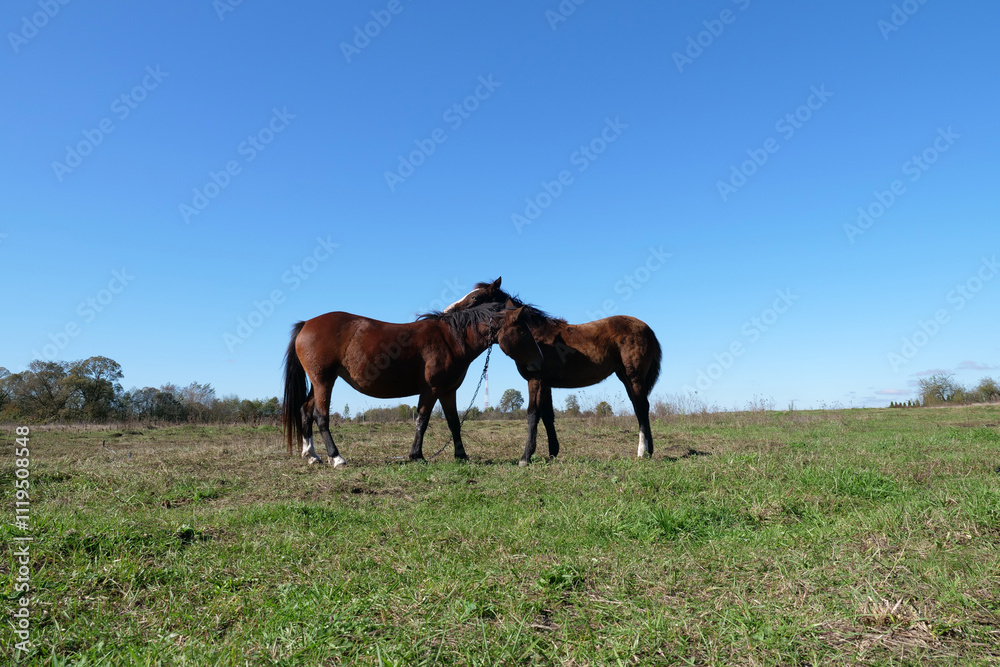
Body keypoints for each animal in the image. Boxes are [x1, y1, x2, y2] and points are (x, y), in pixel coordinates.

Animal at [282, 302, 516, 466]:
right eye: (521, 321)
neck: (451, 338)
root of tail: (306, 324)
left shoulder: (448, 391)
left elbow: (454, 423)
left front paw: (461, 456)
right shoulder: (431, 390)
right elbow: (422, 421)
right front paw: (417, 455)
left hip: (317, 383)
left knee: (305, 411)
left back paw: (312, 455)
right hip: (324, 381)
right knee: (320, 416)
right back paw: (336, 457)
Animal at [447, 279, 662, 465]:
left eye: (475, 297)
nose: (448, 311)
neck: (536, 336)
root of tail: (648, 330)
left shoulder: (535, 380)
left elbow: (533, 414)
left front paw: (525, 457)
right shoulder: (547, 384)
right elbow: (548, 416)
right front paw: (552, 453)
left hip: (634, 377)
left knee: (641, 407)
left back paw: (642, 452)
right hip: (625, 376)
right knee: (640, 406)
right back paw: (649, 451)